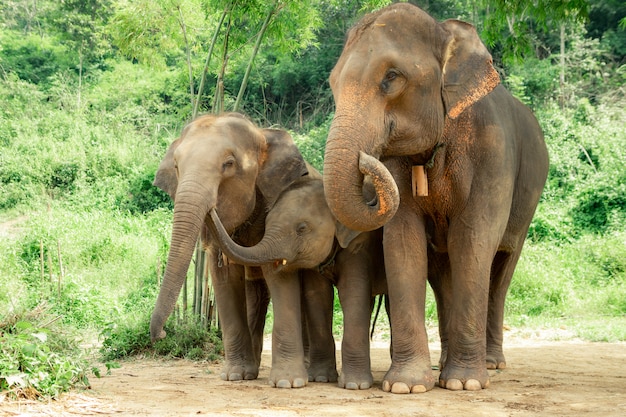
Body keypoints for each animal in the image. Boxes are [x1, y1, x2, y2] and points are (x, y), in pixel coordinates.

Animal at [150, 113, 336, 386]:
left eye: (228, 164)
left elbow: (278, 276)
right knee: (255, 294)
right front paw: (235, 376)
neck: (262, 134)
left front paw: (287, 383)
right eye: (176, 166)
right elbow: (224, 280)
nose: (162, 334)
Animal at [207, 162, 388, 390]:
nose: (211, 208)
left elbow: (352, 293)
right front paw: (321, 378)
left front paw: (355, 386)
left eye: (302, 228)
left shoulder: (359, 245)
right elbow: (318, 296)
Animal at [322, 4, 544, 394]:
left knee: (502, 270)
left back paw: (491, 364)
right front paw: (406, 386)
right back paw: (445, 364)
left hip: (527, 202)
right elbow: (403, 241)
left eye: (391, 77)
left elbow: (473, 239)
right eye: (333, 83)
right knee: (444, 275)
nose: (366, 159)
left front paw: (464, 384)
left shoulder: (492, 153)